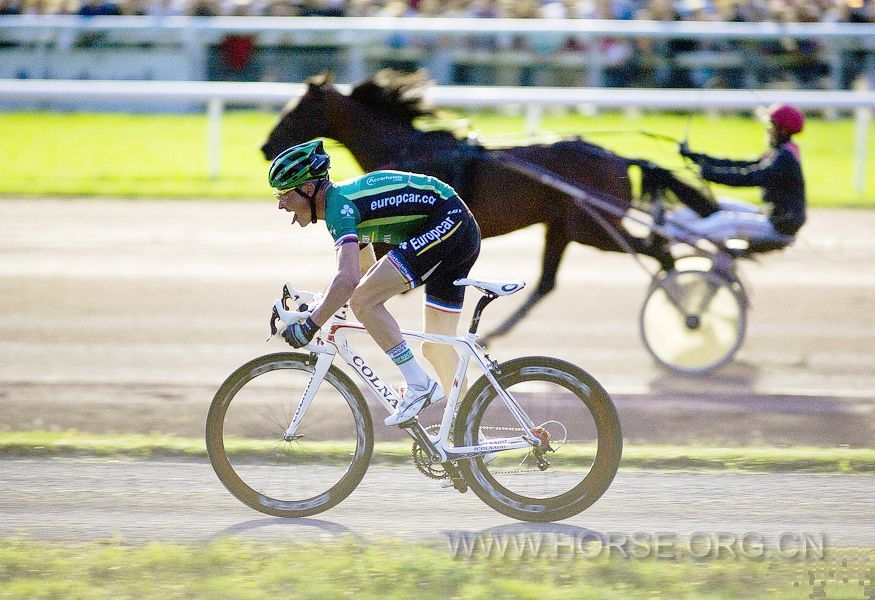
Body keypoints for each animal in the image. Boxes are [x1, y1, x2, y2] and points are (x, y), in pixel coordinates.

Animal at [260, 69, 676, 340]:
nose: (264, 146)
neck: (409, 148)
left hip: (593, 228)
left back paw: (683, 308)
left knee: (660, 250)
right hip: (563, 227)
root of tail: (619, 157)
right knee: (547, 282)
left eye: (297, 108)